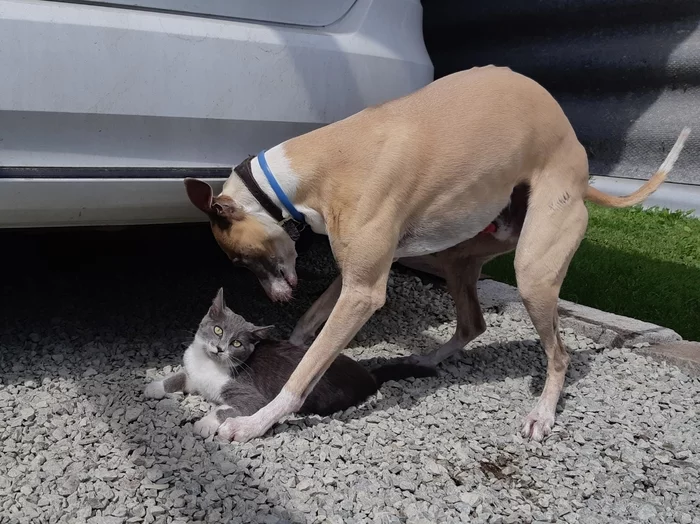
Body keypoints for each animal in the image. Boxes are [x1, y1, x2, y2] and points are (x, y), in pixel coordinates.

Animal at [144, 286, 434, 438]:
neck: (209, 365)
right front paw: (155, 387)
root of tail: (369, 375)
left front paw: (204, 423)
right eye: (217, 330)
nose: (219, 347)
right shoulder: (194, 374)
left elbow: (224, 408)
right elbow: (180, 376)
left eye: (237, 343)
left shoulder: (251, 396)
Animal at [182, 65, 688, 442]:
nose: (278, 299)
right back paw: (426, 359)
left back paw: (542, 414)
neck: (319, 164)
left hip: (534, 271)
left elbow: (303, 375)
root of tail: (584, 174)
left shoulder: (363, 292)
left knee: (560, 354)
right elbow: (310, 326)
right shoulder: (356, 275)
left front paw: (253, 423)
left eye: (241, 260)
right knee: (474, 323)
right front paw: (291, 342)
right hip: (460, 255)